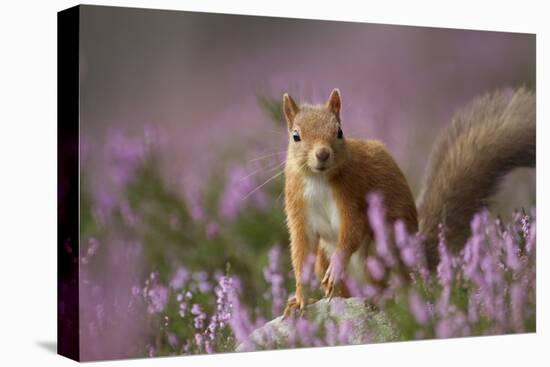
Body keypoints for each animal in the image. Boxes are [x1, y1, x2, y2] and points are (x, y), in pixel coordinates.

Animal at [282, 87, 536, 316]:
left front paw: (336, 268)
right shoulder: (298, 208)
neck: (318, 179)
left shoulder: (354, 194)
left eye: (339, 132)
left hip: (379, 250)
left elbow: (352, 230)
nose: (323, 154)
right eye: (295, 136)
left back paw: (380, 298)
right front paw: (300, 297)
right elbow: (301, 250)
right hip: (324, 259)